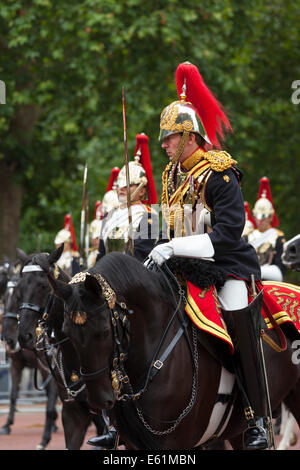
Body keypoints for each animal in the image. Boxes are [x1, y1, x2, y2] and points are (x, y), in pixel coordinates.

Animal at [0, 264, 58, 448]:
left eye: (17, 297)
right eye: (5, 295)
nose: (9, 339)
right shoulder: (16, 364)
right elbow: (13, 394)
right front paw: (7, 425)